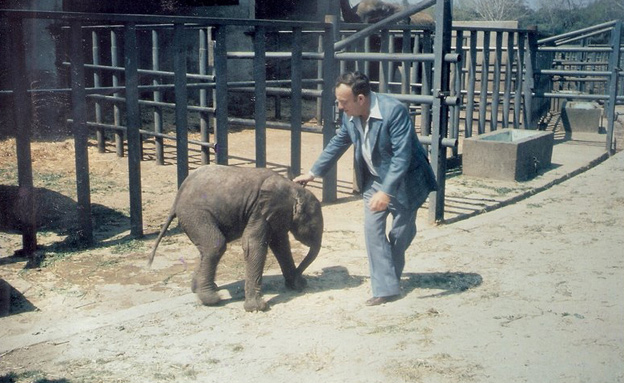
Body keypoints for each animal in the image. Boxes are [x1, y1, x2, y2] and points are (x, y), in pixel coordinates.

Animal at [149, 165, 324, 312]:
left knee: (208, 247)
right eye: (314, 227)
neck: (292, 188)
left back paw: (200, 289)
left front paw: (297, 285)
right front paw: (258, 308)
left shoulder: (275, 214)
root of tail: (177, 198)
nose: (301, 279)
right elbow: (253, 244)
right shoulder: (259, 211)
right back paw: (211, 299)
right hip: (194, 214)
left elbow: (280, 244)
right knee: (216, 245)